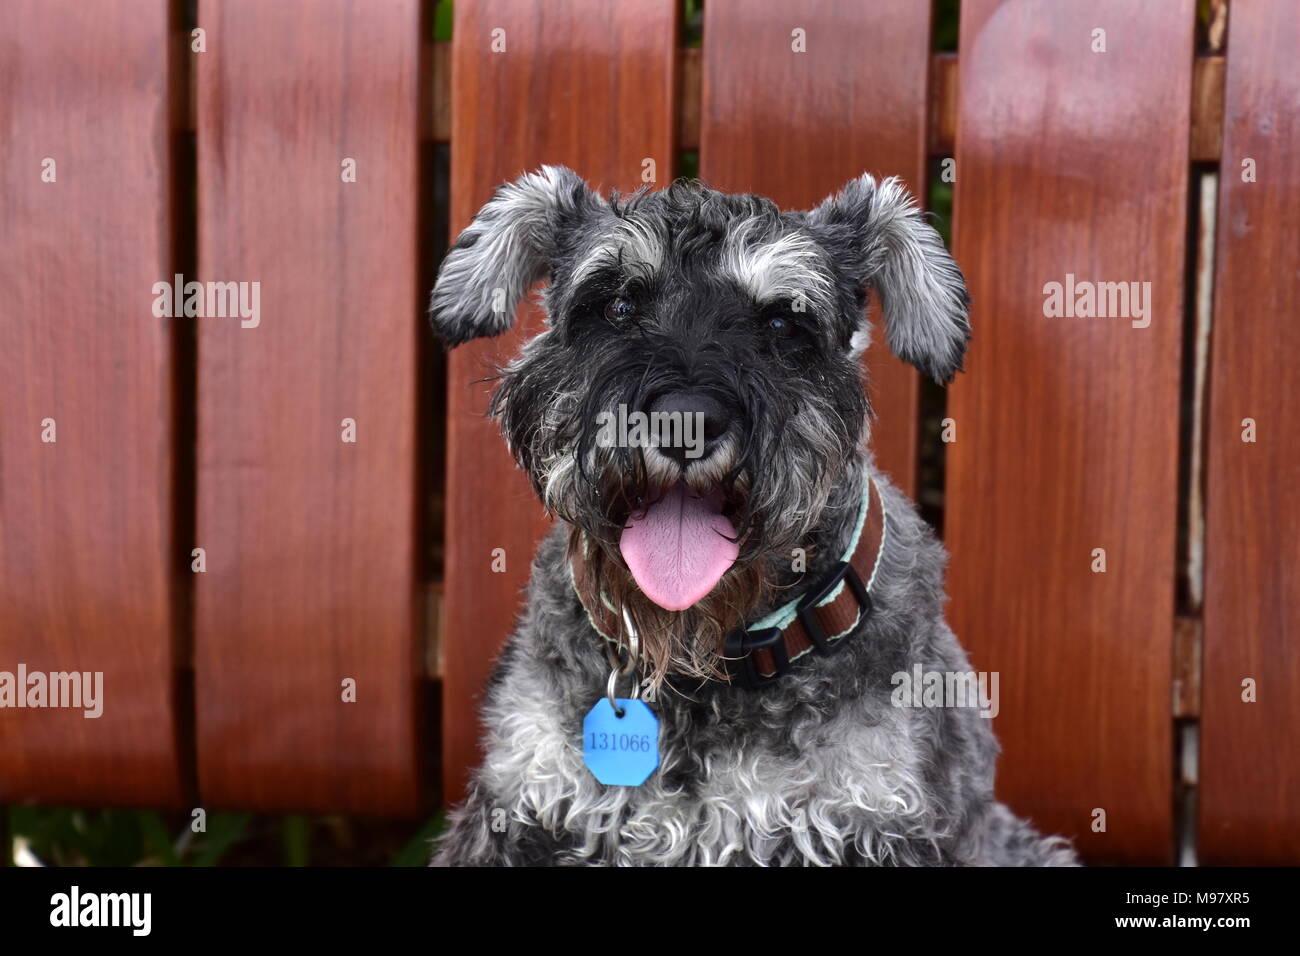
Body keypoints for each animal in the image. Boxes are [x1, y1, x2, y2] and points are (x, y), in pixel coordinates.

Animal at [423, 164, 1076, 868]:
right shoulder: (521, 805)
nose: (683, 423)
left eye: (784, 324)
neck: (704, 664)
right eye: (617, 305)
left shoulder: (877, 823)